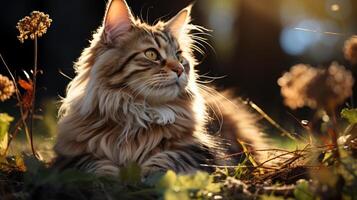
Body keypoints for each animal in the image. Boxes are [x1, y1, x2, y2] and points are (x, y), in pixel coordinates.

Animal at [54, 0, 268, 177]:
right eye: (151, 54)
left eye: (180, 57)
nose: (180, 69)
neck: (137, 113)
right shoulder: (70, 156)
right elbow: (92, 165)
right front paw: (109, 176)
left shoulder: (205, 152)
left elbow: (170, 159)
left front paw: (148, 175)